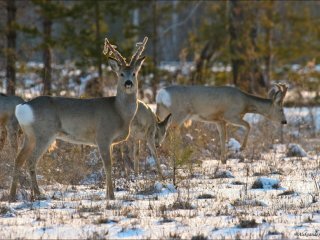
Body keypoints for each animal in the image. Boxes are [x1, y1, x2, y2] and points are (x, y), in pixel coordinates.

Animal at [9, 36, 148, 201]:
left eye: (134, 73)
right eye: (121, 74)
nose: (128, 83)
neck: (119, 112)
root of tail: (22, 107)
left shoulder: (110, 142)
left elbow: (108, 165)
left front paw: (107, 194)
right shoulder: (103, 135)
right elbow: (108, 166)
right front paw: (112, 196)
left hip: (29, 135)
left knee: (18, 159)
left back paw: (12, 196)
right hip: (44, 133)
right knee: (31, 161)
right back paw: (39, 194)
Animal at [156, 83, 288, 164]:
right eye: (281, 109)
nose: (284, 121)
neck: (244, 103)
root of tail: (160, 95)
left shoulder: (219, 120)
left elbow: (223, 137)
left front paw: (223, 160)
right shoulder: (230, 115)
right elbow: (248, 125)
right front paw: (241, 148)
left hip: (163, 113)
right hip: (179, 113)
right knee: (170, 131)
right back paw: (174, 156)